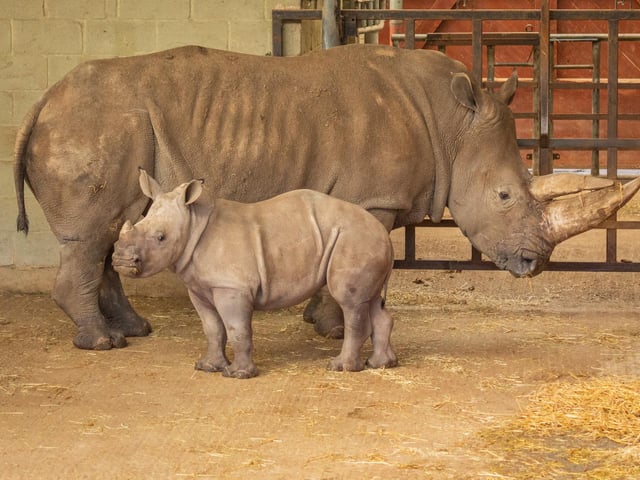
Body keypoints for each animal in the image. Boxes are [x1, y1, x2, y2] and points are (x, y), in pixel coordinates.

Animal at [14, 44, 640, 350]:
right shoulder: (372, 199)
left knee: (115, 228)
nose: (536, 263)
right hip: (93, 126)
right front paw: (337, 329)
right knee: (92, 233)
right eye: (506, 194)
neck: (450, 124)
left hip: (107, 129)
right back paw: (102, 345)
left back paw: (133, 332)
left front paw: (325, 324)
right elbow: (359, 259)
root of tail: (43, 100)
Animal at [112, 170, 398, 378]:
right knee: (371, 301)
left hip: (354, 238)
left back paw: (340, 368)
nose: (120, 260)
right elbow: (212, 328)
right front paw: (207, 367)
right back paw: (381, 364)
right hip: (363, 240)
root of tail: (385, 234)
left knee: (350, 302)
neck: (193, 223)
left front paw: (238, 374)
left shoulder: (231, 287)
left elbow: (237, 329)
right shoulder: (198, 288)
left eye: (161, 237)